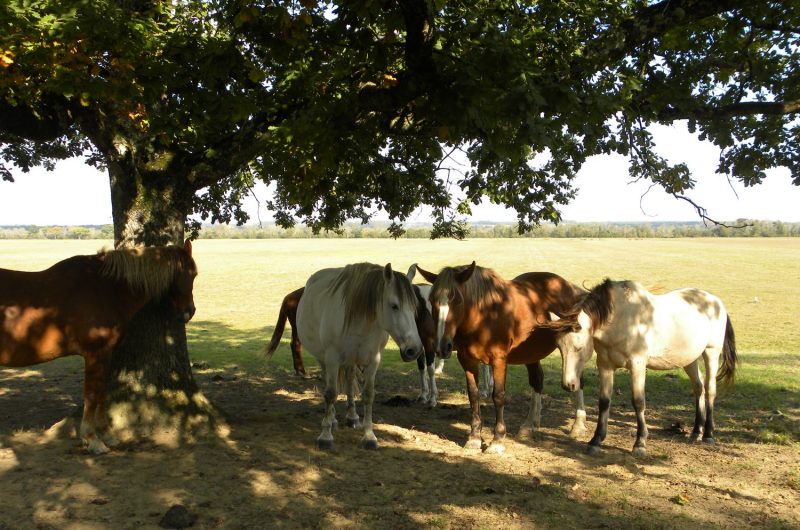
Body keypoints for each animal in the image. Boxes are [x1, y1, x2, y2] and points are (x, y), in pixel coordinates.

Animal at [0, 240, 198, 454]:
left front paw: (107, 435)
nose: (189, 311)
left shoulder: (106, 353)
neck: (106, 289)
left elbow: (102, 393)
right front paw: (92, 439)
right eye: (192, 274)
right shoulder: (94, 354)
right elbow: (91, 395)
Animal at [296, 262, 423, 450]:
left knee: (349, 381)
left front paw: (369, 436)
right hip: (324, 359)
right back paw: (332, 419)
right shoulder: (332, 358)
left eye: (414, 307)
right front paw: (326, 436)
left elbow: (368, 395)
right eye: (394, 305)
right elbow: (331, 393)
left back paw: (352, 416)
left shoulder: (374, 360)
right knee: (328, 382)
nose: (414, 349)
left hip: (351, 360)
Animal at [416, 262, 587, 454]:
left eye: (457, 300)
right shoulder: (467, 361)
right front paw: (474, 438)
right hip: (531, 352)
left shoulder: (498, 361)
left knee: (578, 380)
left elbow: (498, 396)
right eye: (432, 301)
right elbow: (473, 395)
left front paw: (497, 440)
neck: (485, 317)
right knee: (537, 381)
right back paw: (529, 425)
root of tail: (570, 287)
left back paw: (578, 425)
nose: (442, 346)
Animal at [545, 278, 738, 456]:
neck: (622, 319)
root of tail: (716, 302)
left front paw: (640, 443)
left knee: (710, 390)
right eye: (559, 348)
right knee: (699, 388)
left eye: (578, 347)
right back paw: (696, 431)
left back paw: (708, 434)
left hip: (711, 353)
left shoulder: (637, 365)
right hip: (689, 359)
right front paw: (596, 440)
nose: (568, 384)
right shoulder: (605, 365)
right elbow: (604, 401)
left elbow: (638, 402)